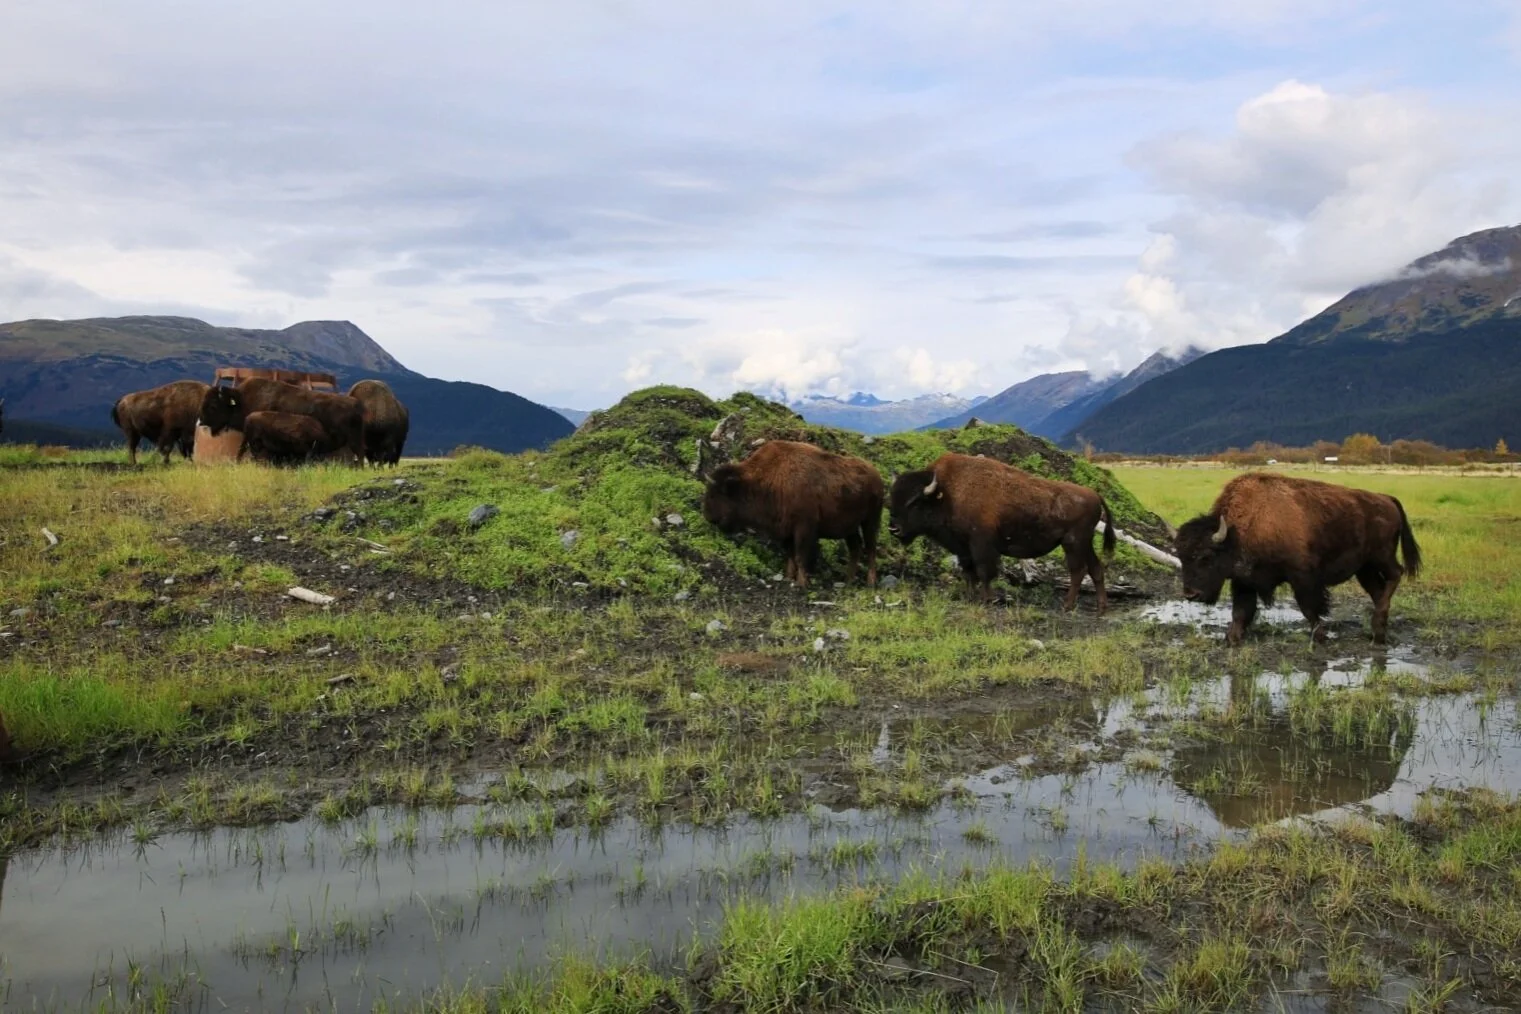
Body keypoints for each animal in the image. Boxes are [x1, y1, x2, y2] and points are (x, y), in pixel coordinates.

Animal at [702, 439, 884, 589]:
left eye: (714, 494)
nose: (708, 517)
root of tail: (877, 476)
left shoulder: (803, 529)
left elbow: (799, 556)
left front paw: (802, 583)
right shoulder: (786, 530)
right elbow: (789, 555)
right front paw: (789, 577)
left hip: (871, 521)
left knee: (870, 548)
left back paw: (870, 582)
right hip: (850, 528)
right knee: (856, 548)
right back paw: (849, 581)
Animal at [888, 452, 1116, 611]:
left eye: (915, 503)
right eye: (893, 498)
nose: (893, 528)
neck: (946, 494)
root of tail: (1094, 494)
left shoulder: (981, 545)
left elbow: (983, 572)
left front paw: (987, 599)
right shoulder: (963, 548)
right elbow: (968, 573)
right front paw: (970, 597)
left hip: (1072, 543)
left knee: (1078, 571)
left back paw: (1067, 606)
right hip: (1084, 543)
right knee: (1096, 569)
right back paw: (1101, 608)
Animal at [1173, 472, 1421, 646]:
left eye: (1206, 557)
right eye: (1181, 557)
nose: (1191, 594)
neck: (1238, 531)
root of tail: (1386, 499)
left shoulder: (1302, 577)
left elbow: (1308, 607)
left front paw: (1320, 637)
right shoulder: (1244, 582)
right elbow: (1241, 611)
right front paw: (1231, 638)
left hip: (1381, 557)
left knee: (1396, 574)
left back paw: (1378, 626)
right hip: (1365, 569)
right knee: (1378, 590)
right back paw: (1378, 631)